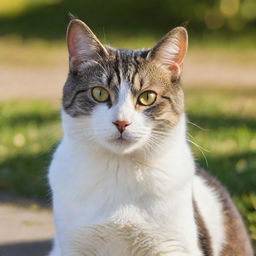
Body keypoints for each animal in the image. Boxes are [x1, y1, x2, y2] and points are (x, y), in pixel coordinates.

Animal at [47, 18, 253, 256]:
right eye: (99, 93)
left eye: (147, 97)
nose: (122, 122)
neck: (120, 169)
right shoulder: (75, 245)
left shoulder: (173, 246)